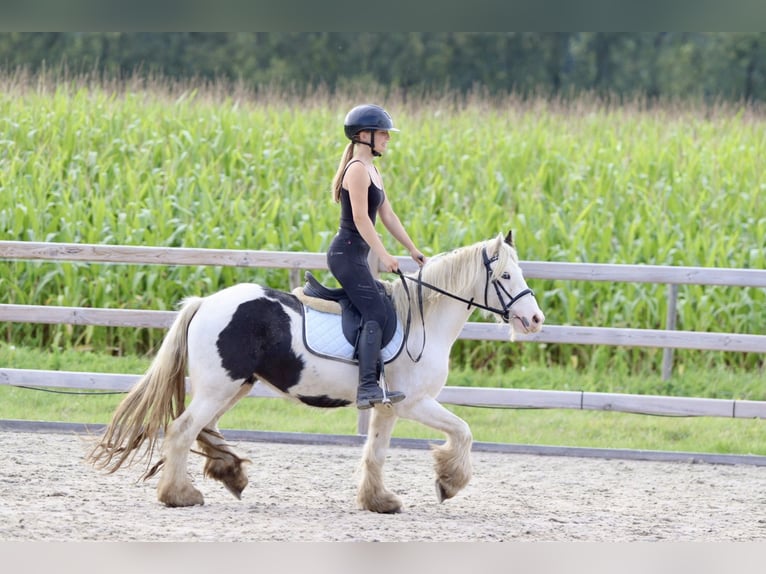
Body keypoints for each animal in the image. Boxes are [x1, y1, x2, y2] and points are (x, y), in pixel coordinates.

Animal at [87, 232, 544, 516]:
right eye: (505, 276)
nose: (535, 319)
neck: (422, 322)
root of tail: (205, 303)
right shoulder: (415, 403)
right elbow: (464, 431)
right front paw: (448, 483)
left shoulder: (387, 408)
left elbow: (376, 452)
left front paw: (379, 501)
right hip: (220, 387)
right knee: (183, 430)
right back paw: (180, 495)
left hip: (235, 387)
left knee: (206, 431)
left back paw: (230, 474)